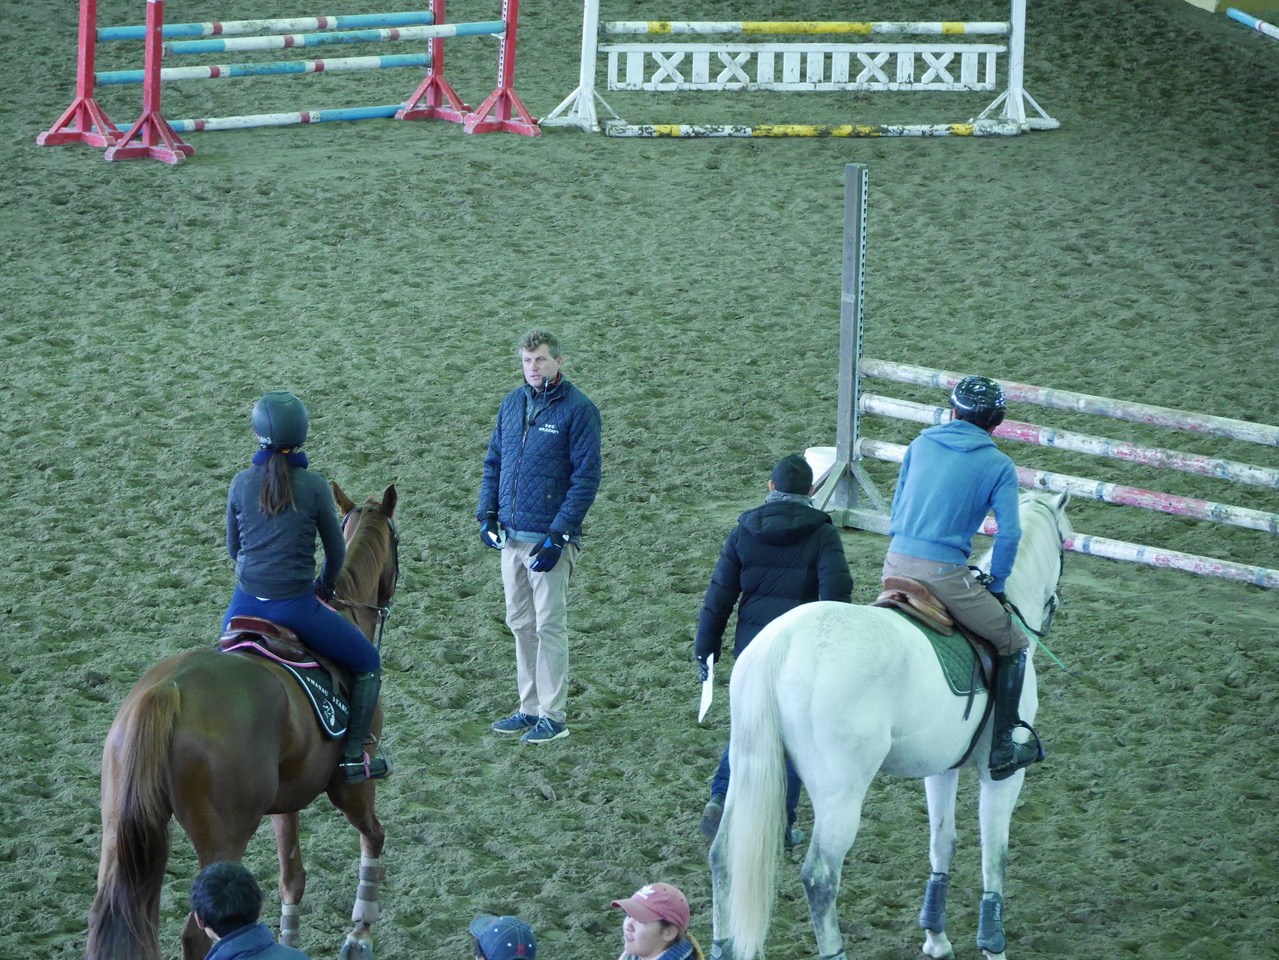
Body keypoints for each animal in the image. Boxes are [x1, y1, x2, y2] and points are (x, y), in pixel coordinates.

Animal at [85, 482, 399, 960]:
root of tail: (169, 689)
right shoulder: (353, 785)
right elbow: (373, 836)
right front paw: (359, 933)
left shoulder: (285, 803)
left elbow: (292, 878)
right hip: (224, 835)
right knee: (196, 931)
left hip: (119, 830)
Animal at [709, 490, 1071, 960]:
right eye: (1065, 546)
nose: (1053, 608)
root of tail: (781, 644)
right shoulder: (1004, 775)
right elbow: (996, 853)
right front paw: (993, 943)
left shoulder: (942, 768)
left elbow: (943, 843)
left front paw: (936, 937)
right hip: (840, 792)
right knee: (820, 876)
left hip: (749, 765)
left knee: (722, 855)